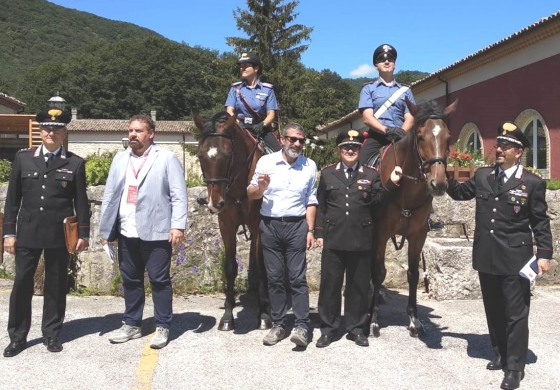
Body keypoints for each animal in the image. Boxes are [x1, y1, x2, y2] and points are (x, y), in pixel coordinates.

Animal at [195, 111, 272, 330]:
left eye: (228, 154)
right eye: (200, 155)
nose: (215, 203)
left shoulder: (258, 226)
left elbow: (262, 266)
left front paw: (264, 314)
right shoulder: (226, 226)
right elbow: (230, 268)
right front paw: (228, 316)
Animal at [370, 100, 458, 338]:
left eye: (448, 137)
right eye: (420, 136)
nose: (438, 184)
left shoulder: (418, 236)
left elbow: (413, 274)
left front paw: (414, 321)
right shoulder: (380, 234)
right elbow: (379, 272)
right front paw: (373, 320)